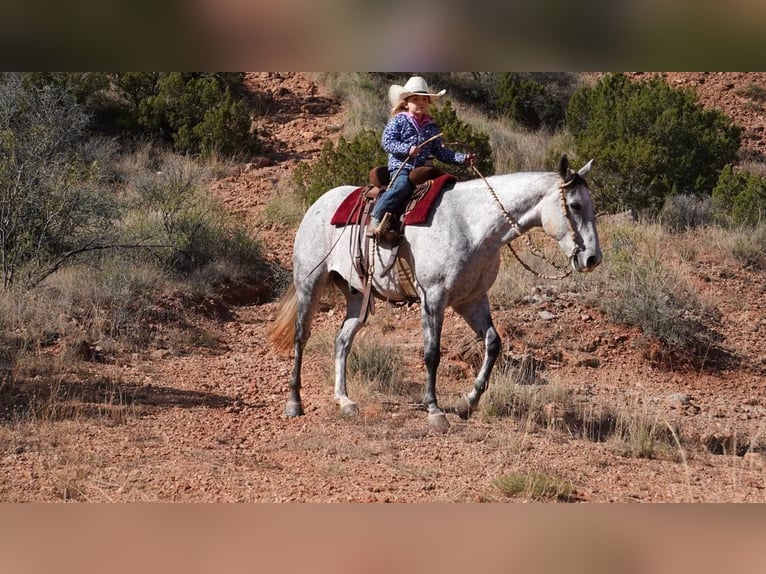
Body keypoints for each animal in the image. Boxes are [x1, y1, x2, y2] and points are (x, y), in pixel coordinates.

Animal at [272, 155, 608, 430]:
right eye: (575, 206)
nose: (593, 258)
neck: (472, 225)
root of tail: (318, 204)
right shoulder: (433, 297)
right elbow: (432, 353)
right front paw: (434, 410)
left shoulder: (471, 300)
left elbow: (493, 343)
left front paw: (467, 403)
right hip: (310, 283)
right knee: (301, 337)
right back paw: (294, 403)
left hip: (358, 297)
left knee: (342, 341)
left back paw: (344, 401)